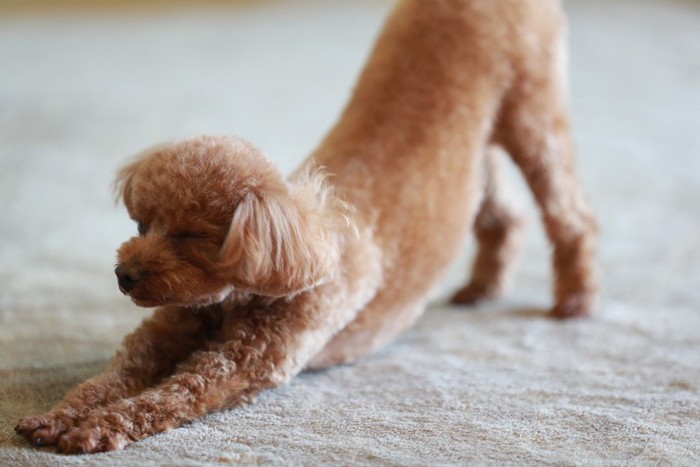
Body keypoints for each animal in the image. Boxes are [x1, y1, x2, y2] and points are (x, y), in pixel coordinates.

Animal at [15, 0, 596, 454]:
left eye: (190, 237)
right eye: (142, 223)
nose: (124, 275)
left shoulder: (241, 365)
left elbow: (167, 396)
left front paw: (94, 430)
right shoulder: (162, 334)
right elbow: (109, 378)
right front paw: (56, 416)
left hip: (533, 109)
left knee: (572, 215)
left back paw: (575, 301)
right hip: (480, 147)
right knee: (504, 214)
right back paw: (481, 287)